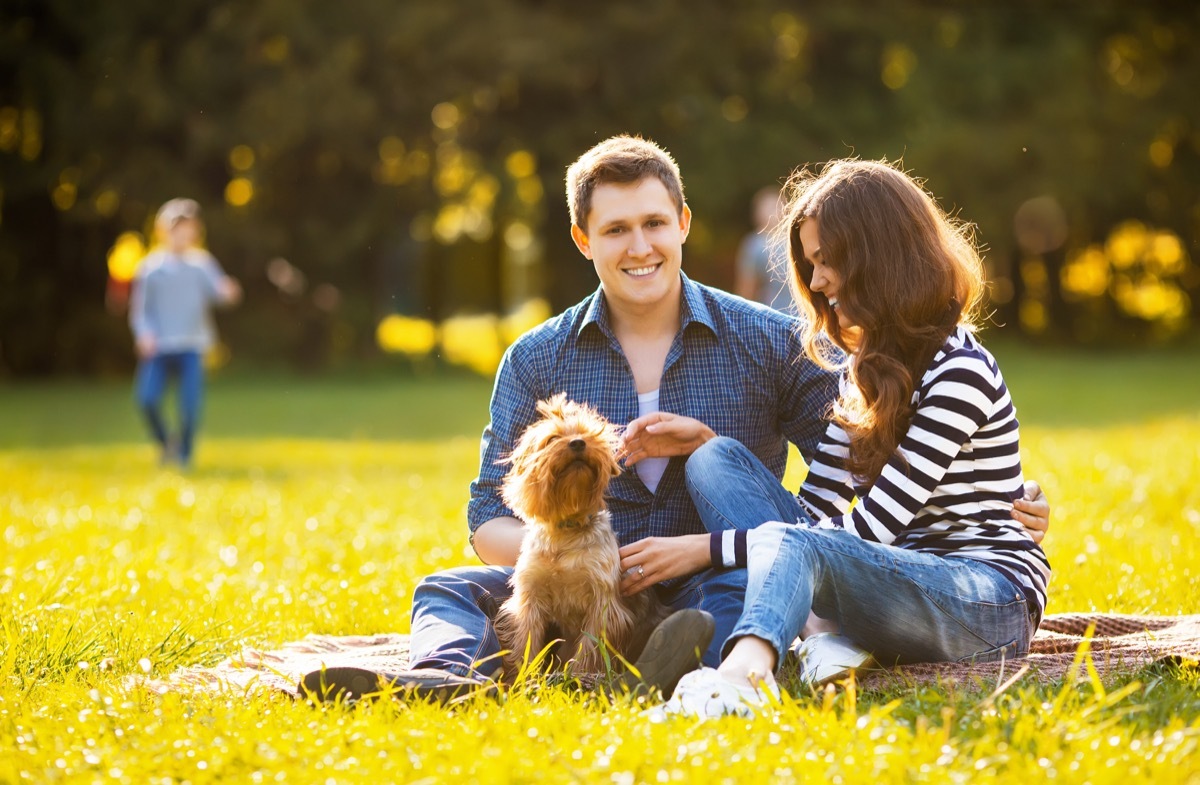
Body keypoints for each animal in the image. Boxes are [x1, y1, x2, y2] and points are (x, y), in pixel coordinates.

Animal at [492, 396, 672, 681]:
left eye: (589, 434)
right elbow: (526, 640)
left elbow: (591, 646)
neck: (566, 530)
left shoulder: (602, 603)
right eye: (552, 438)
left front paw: (580, 678)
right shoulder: (529, 597)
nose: (578, 442)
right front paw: (523, 678)